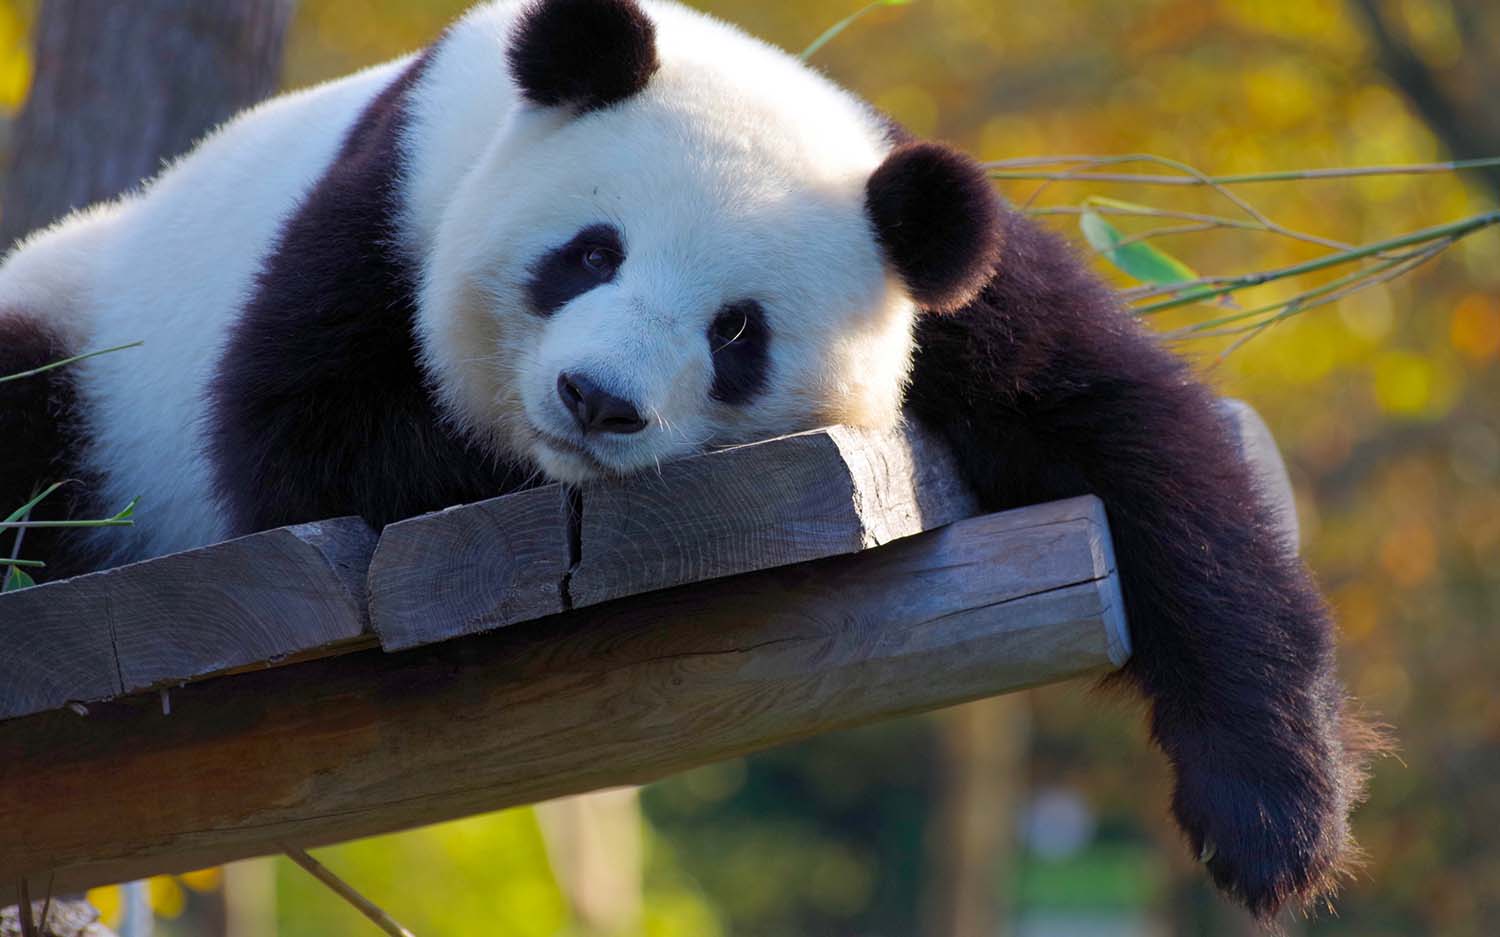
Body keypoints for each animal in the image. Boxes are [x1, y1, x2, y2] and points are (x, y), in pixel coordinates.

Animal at [0, 0, 1373, 920]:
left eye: (737, 332)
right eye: (589, 252)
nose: (597, 401)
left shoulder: (940, 277)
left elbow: (1138, 440)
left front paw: (1276, 819)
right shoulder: (387, 200)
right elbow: (304, 436)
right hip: (82, 338)